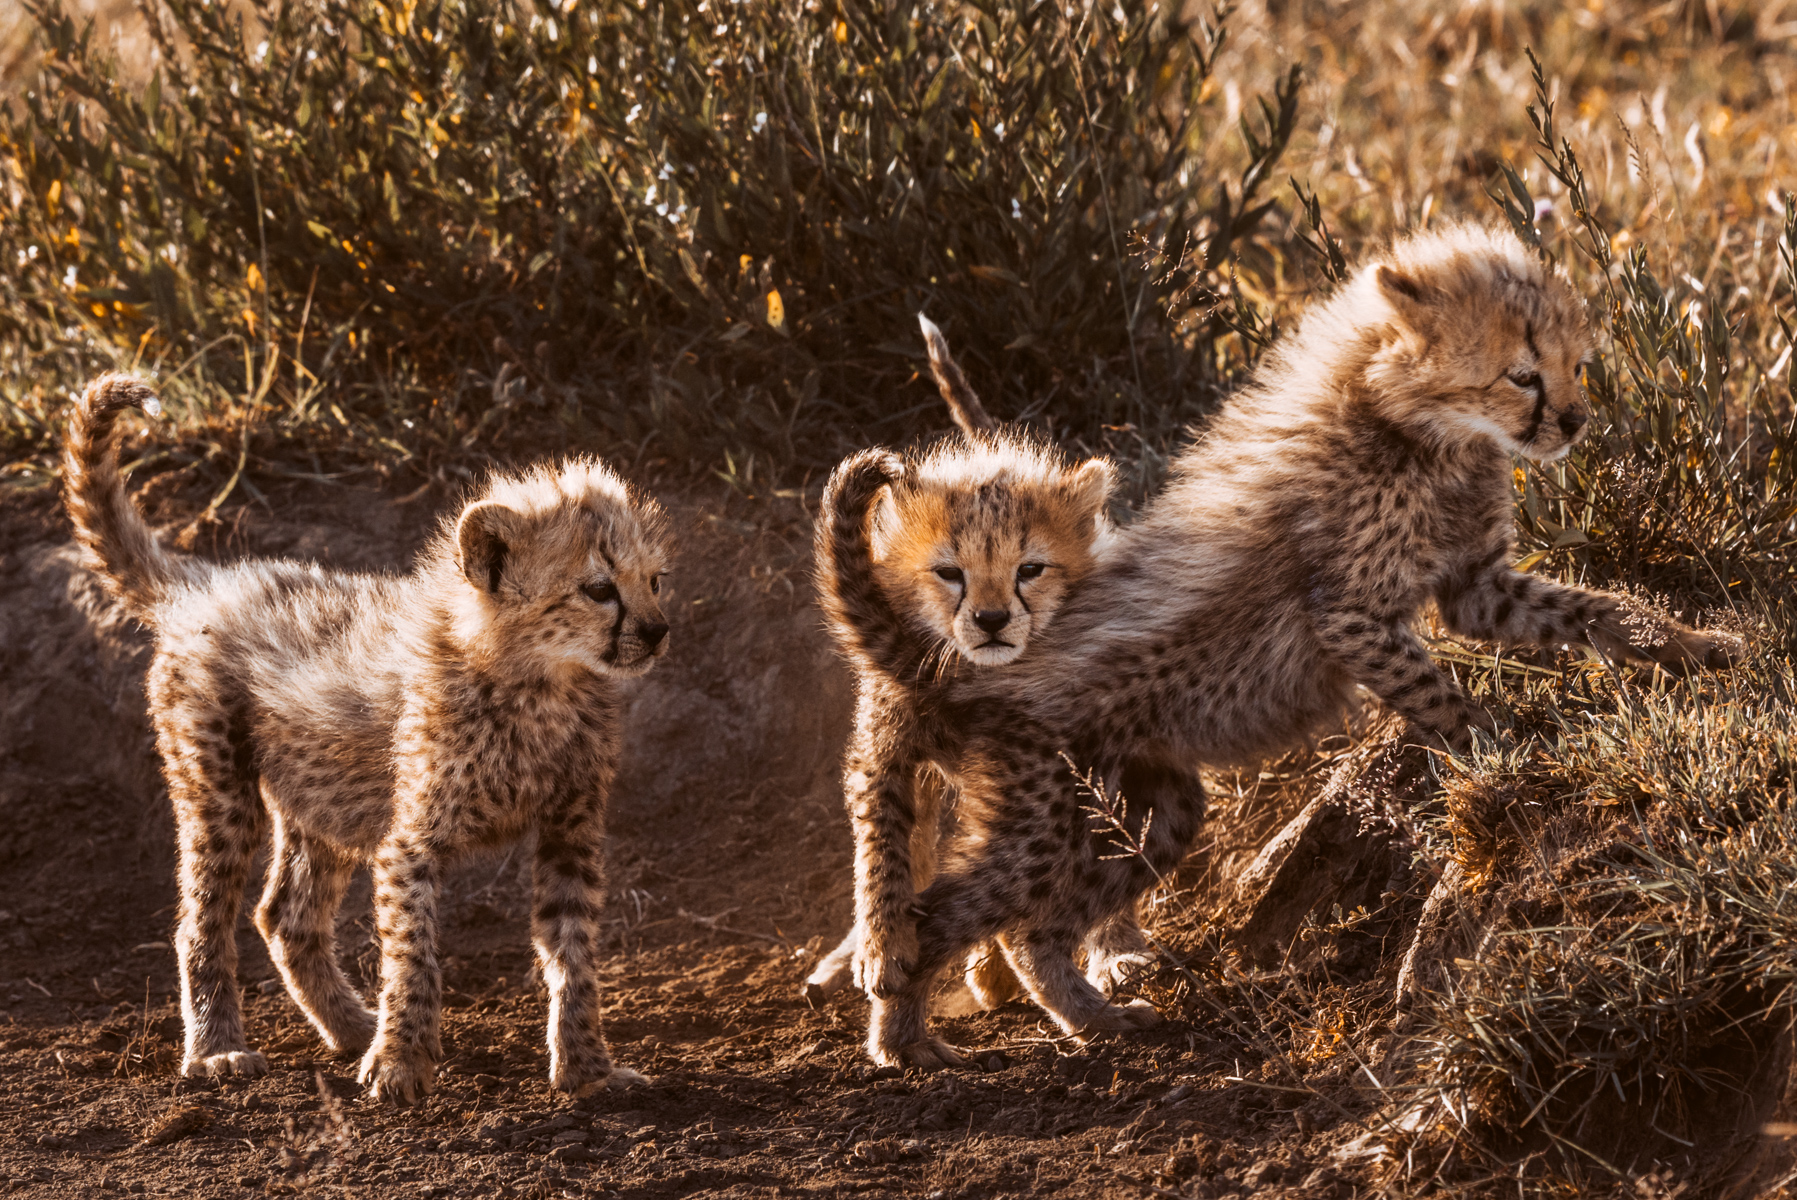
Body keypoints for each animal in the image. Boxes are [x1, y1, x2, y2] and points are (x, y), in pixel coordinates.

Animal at [62, 373, 673, 1102]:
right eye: (599, 589)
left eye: (655, 580)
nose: (658, 631)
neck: (539, 680)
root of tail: (206, 584)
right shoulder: (409, 841)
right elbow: (414, 954)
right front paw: (401, 1062)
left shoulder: (569, 828)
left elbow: (573, 952)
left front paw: (588, 1069)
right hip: (221, 793)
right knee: (202, 922)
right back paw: (218, 1049)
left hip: (326, 798)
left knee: (286, 915)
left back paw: (351, 1026)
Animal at [856, 225, 1741, 1067]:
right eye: (1522, 374)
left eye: (1576, 366)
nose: (1573, 421)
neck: (1413, 427)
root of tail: (968, 672)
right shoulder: (1348, 616)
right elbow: (1444, 701)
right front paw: (1502, 760)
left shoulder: (1474, 586)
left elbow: (1596, 609)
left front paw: (1692, 646)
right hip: (1043, 813)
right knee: (938, 914)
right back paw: (905, 1038)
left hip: (1144, 805)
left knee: (1038, 924)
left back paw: (1094, 1018)